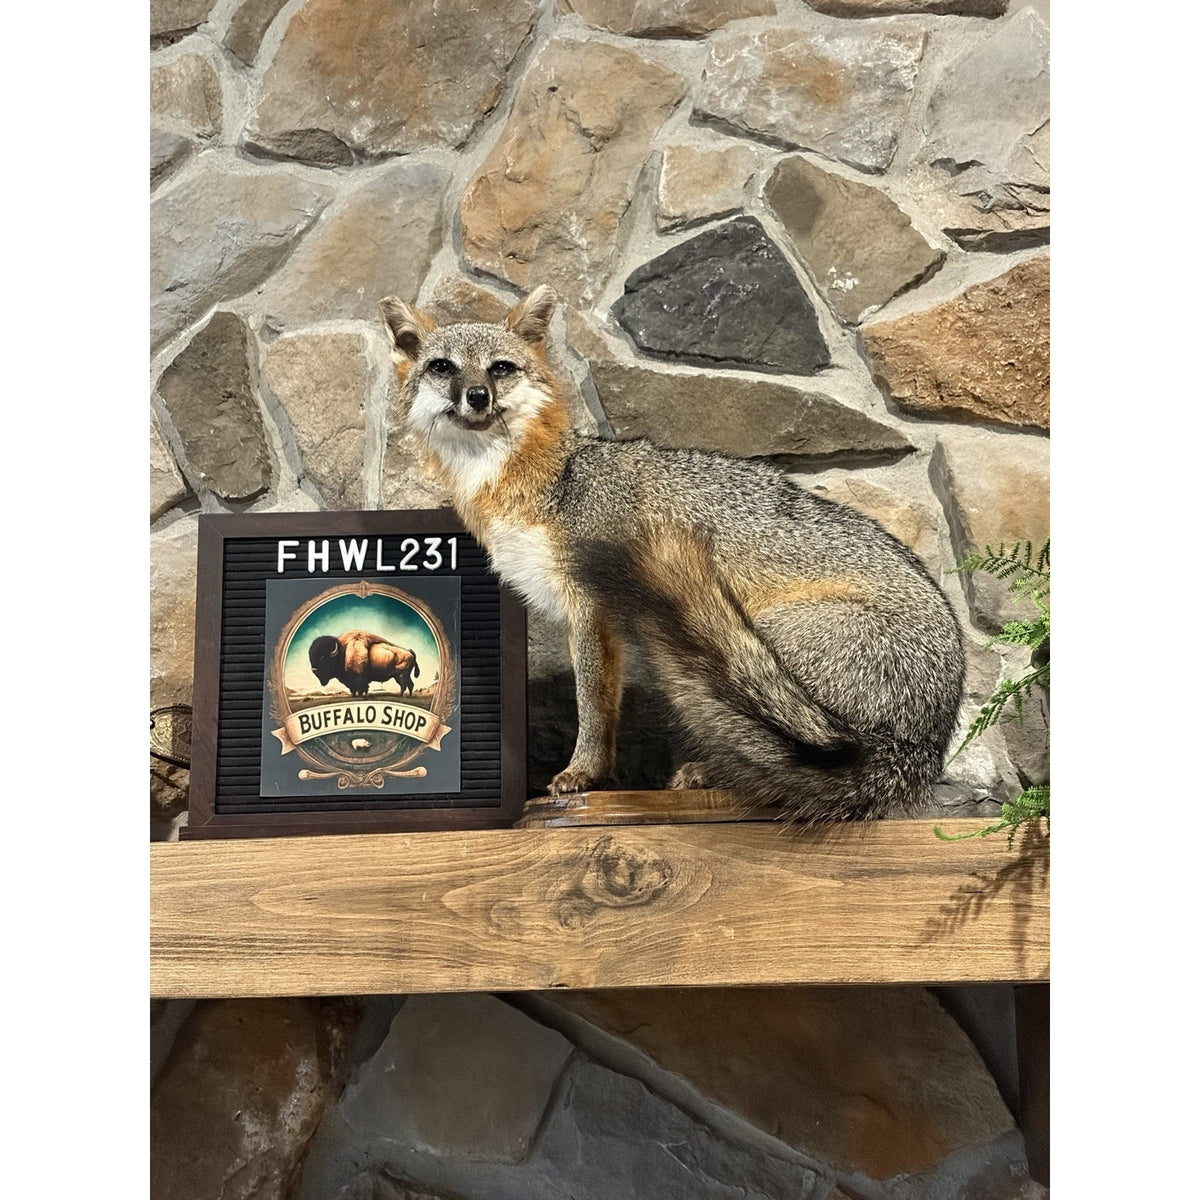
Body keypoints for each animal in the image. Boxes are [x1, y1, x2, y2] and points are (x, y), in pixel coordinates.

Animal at [378, 284, 966, 821]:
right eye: (442, 367)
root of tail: (918, 749)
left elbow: (592, 703)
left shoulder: (591, 606)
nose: (476, 395)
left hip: (749, 640)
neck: (549, 481)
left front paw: (582, 773)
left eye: (500, 368)